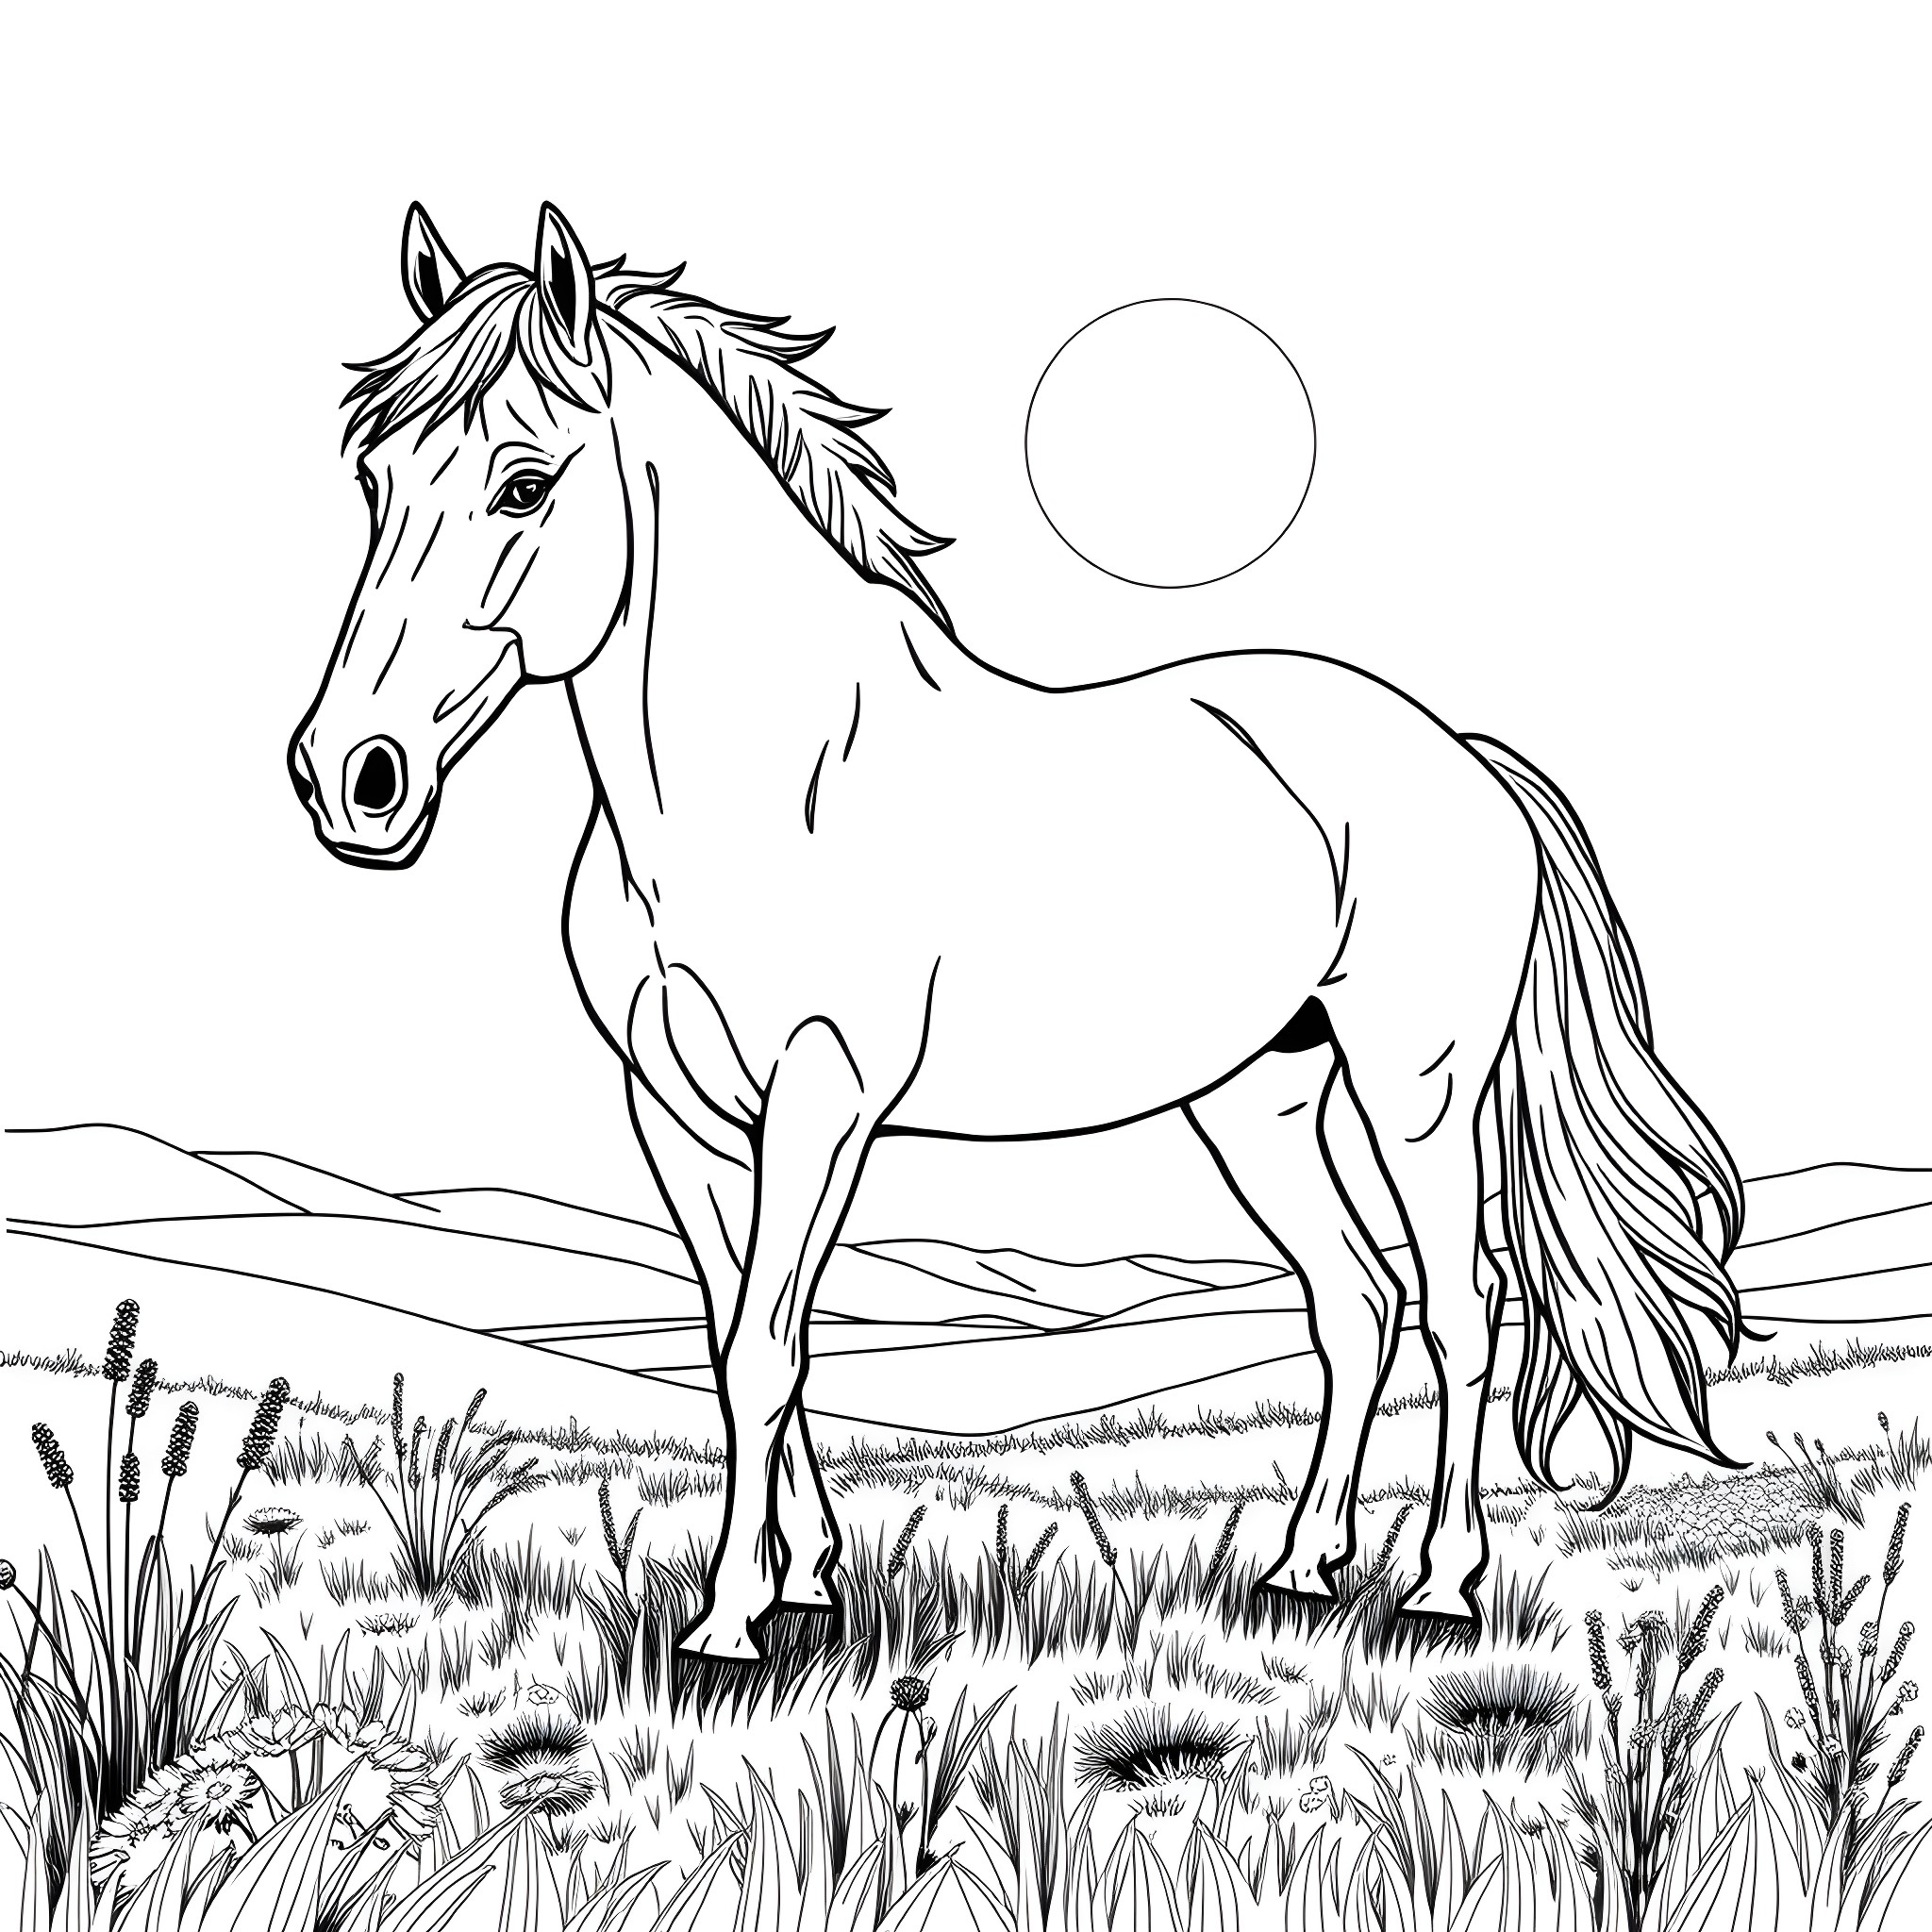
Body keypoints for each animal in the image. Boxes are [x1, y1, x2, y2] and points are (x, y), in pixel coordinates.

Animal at [289, 204, 1746, 1659]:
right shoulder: (678, 1110)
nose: (352, 779)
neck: (757, 785)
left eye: (524, 484)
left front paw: (728, 1621)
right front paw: (809, 1582)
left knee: (1458, 1307)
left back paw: (1440, 1586)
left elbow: (765, 1348)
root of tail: (1458, 753)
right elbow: (739, 1340)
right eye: (370, 479)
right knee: (1353, 1301)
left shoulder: (822, 1095)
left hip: (1415, 1090)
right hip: (1258, 1098)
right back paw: (1295, 1570)